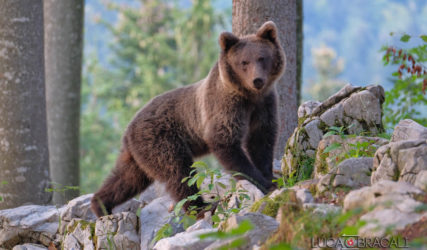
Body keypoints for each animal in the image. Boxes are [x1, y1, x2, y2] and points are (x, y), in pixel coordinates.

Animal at [91, 21, 286, 217]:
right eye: (244, 62)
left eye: (262, 58)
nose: (257, 80)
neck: (249, 96)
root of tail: (128, 129)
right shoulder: (225, 106)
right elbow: (225, 141)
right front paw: (264, 183)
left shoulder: (264, 105)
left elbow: (262, 140)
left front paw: (270, 176)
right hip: (161, 140)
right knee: (178, 172)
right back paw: (202, 206)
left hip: (139, 154)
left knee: (128, 178)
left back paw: (101, 204)